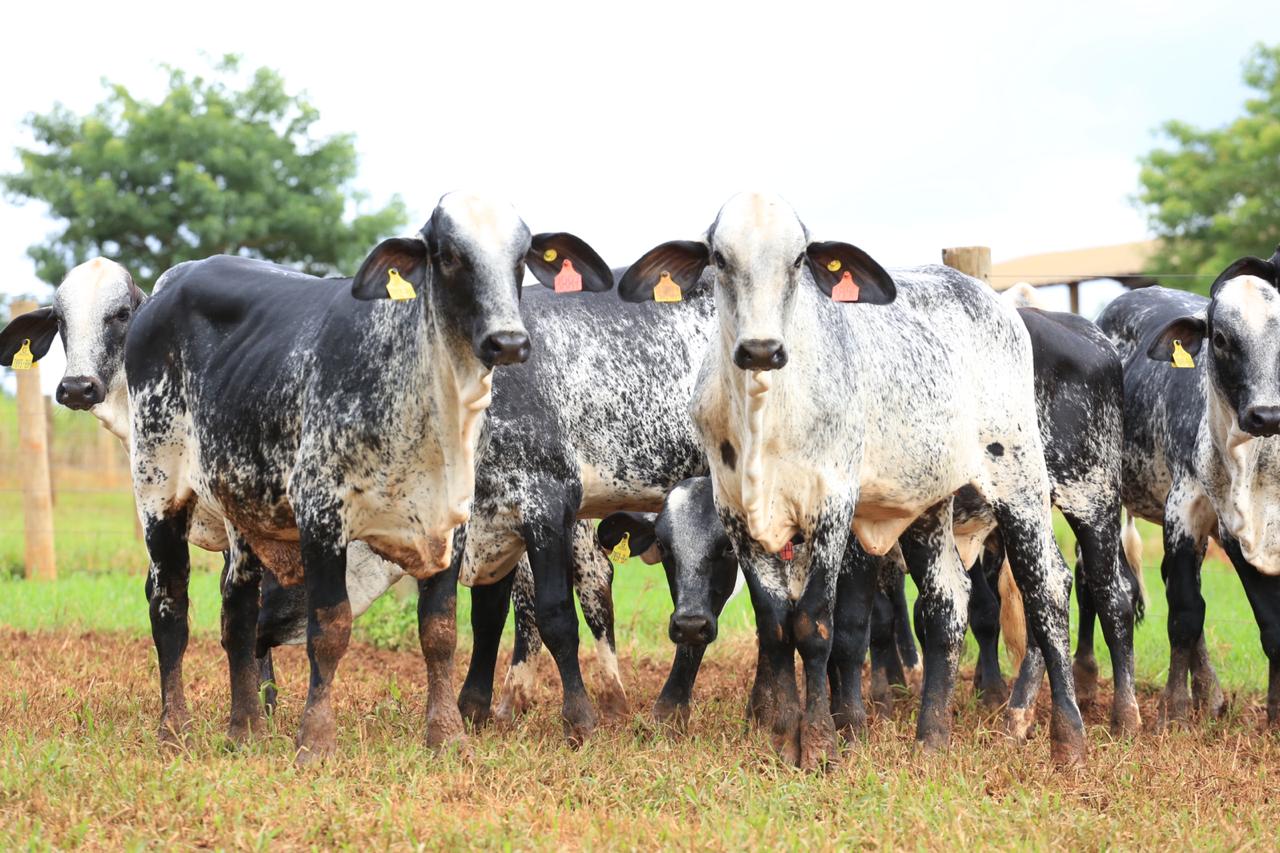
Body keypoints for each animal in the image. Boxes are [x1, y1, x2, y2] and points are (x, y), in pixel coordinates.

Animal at [124, 194, 614, 763]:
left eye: (520, 258)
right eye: (449, 256)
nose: (509, 341)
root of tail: (168, 285)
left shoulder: (450, 524)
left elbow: (440, 631)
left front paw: (447, 736)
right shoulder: (320, 514)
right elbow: (330, 629)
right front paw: (315, 740)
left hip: (242, 512)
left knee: (237, 611)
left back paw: (244, 728)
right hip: (158, 487)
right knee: (169, 606)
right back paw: (173, 730)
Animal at [619, 195, 1090, 768]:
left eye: (799, 258)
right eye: (719, 257)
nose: (761, 349)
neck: (764, 416)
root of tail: (997, 301)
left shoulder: (833, 509)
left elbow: (818, 626)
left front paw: (822, 742)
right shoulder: (737, 513)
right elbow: (775, 625)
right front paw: (782, 736)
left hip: (1018, 479)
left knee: (1047, 588)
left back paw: (1065, 737)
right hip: (930, 506)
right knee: (946, 603)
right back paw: (931, 738)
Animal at [1095, 251, 1280, 722]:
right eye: (1221, 339)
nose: (1266, 415)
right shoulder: (1196, 516)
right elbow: (1187, 614)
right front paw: (1175, 709)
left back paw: (1211, 694)